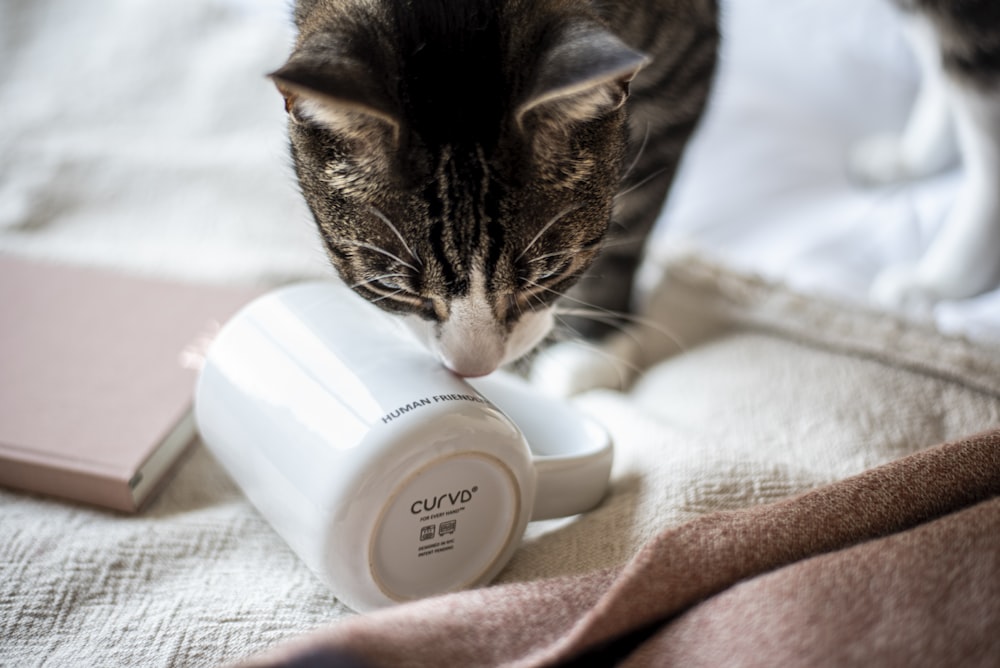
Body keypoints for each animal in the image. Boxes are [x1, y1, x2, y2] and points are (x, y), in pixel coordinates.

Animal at [266, 0, 720, 384]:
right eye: (390, 287)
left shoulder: (684, 71)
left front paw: (592, 348)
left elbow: (635, 216)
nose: (474, 369)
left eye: (550, 276)